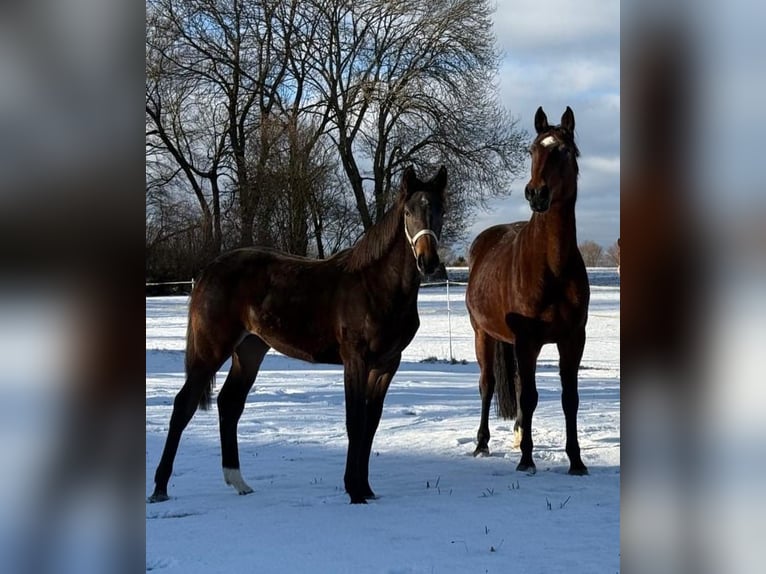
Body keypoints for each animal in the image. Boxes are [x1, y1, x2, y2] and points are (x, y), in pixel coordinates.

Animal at [148, 165, 447, 504]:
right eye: (408, 212)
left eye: (440, 209)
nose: (428, 261)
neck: (375, 286)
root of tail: (207, 271)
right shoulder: (355, 360)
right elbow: (355, 422)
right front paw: (354, 491)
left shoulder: (386, 365)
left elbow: (371, 423)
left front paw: (367, 489)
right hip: (211, 349)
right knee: (184, 405)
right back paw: (160, 488)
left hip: (249, 351)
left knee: (229, 404)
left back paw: (239, 482)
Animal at [465, 106, 589, 475]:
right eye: (532, 150)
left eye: (564, 151)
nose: (537, 194)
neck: (552, 265)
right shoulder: (527, 339)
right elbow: (530, 397)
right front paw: (526, 461)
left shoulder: (573, 338)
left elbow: (569, 399)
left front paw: (576, 461)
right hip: (483, 335)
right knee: (488, 384)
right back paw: (482, 443)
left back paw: (519, 434)